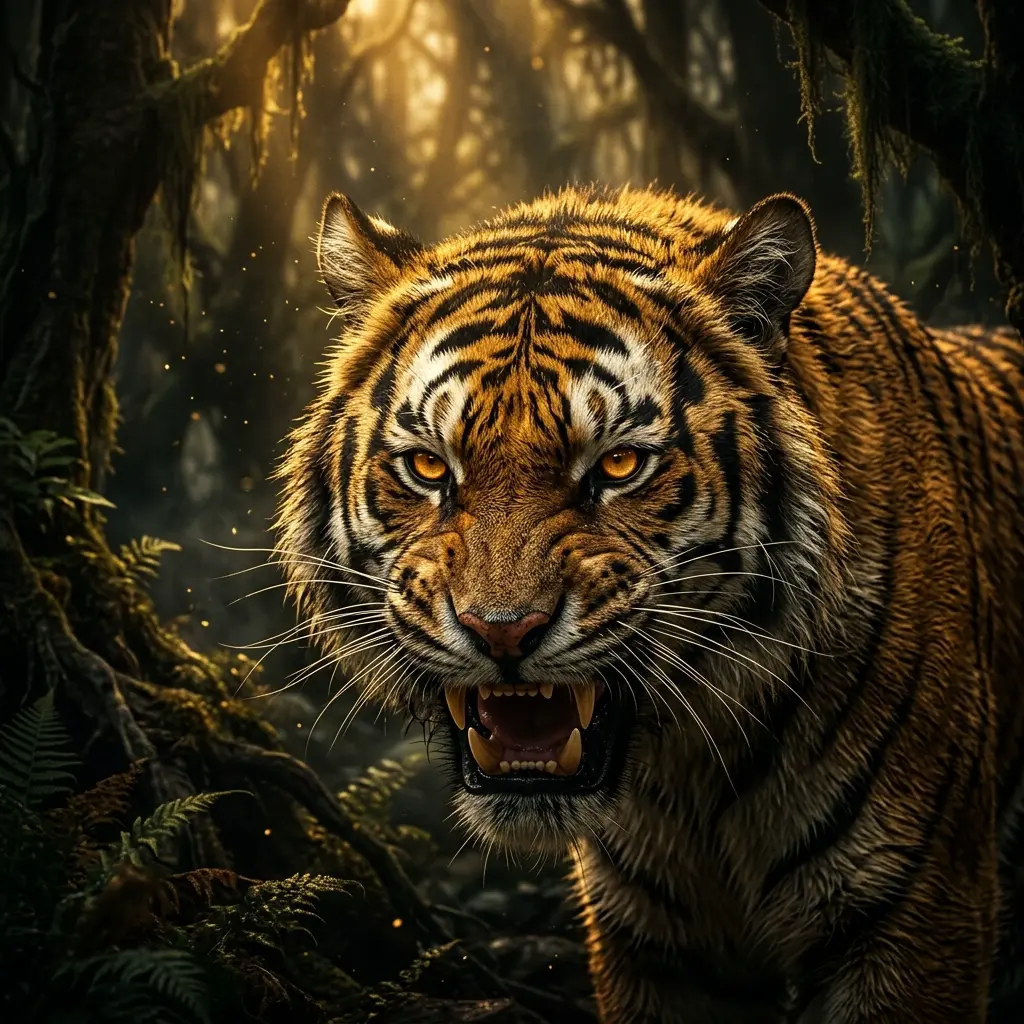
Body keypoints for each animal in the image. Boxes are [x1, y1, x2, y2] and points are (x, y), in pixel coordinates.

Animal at [274, 183, 1024, 1023]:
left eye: (620, 465)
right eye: (430, 468)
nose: (502, 633)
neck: (690, 770)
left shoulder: (912, 914)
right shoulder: (652, 940)